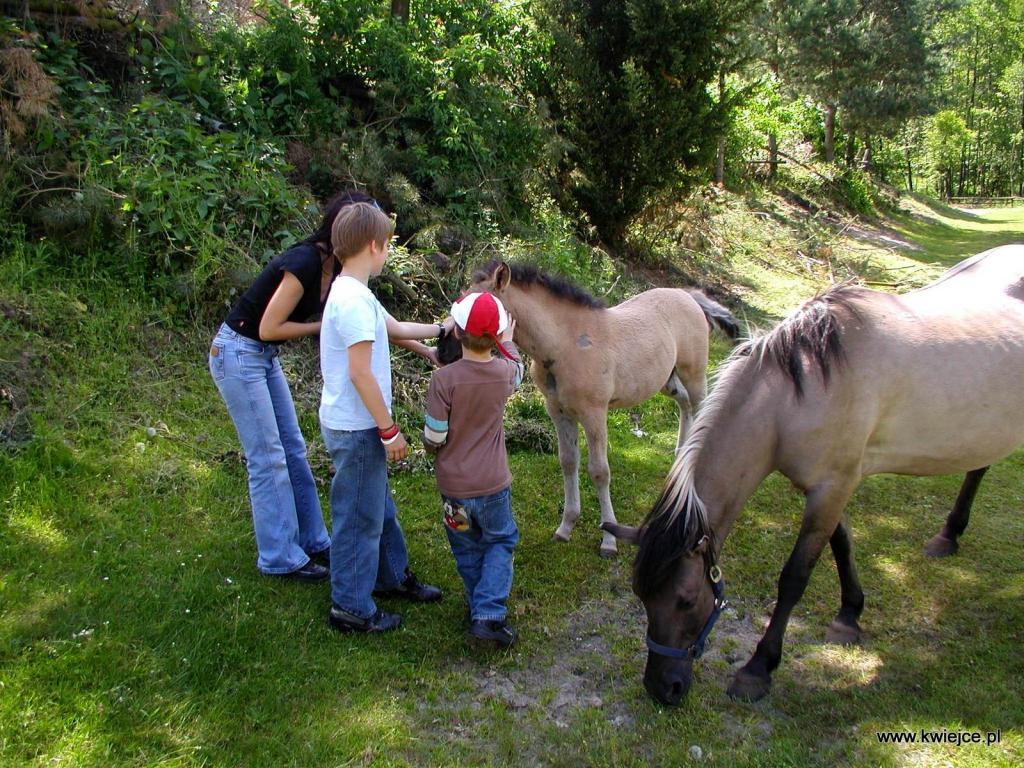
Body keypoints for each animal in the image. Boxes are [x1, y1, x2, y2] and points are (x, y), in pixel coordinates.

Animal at [471, 262, 737, 557]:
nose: (452, 340)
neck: (565, 345)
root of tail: (688, 295)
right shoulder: (558, 412)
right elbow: (568, 462)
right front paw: (566, 527)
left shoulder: (594, 414)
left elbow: (600, 471)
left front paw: (609, 540)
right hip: (667, 381)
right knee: (685, 404)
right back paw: (680, 455)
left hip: (694, 373)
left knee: (700, 407)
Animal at [602, 244, 1024, 704]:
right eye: (642, 596)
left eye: (686, 599)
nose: (663, 688)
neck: (804, 392)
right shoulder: (825, 485)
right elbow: (842, 542)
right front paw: (850, 614)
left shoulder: (833, 486)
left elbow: (795, 577)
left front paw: (757, 669)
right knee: (979, 464)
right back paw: (948, 535)